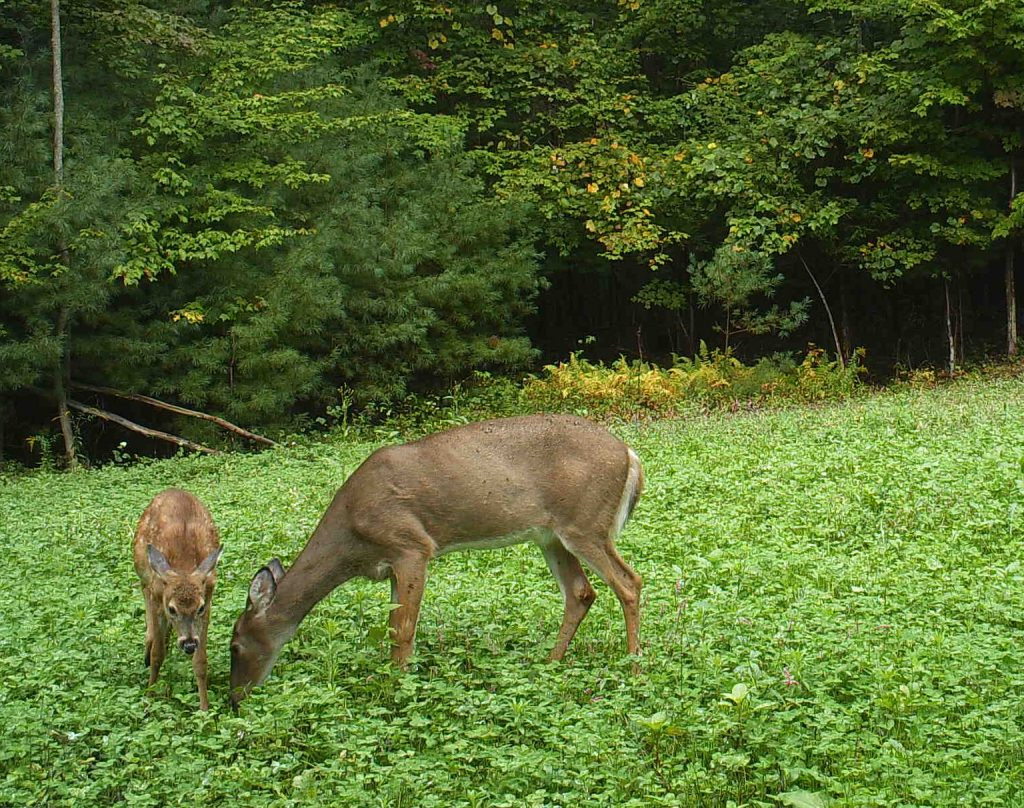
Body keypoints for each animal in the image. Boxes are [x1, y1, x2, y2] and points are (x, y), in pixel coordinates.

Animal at [132, 485, 222, 704]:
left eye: (199, 607)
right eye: (172, 609)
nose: (188, 644)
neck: (183, 566)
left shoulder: (208, 597)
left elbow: (201, 661)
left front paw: (205, 707)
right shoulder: (158, 597)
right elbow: (157, 655)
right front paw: (150, 697)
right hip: (145, 578)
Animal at [232, 415, 643, 704]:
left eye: (234, 644)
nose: (235, 698)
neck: (352, 538)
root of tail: (630, 454)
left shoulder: (411, 546)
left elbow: (403, 629)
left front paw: (397, 687)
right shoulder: (392, 563)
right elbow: (394, 626)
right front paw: (395, 678)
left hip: (585, 524)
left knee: (629, 582)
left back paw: (634, 666)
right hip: (552, 535)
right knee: (581, 592)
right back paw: (550, 662)